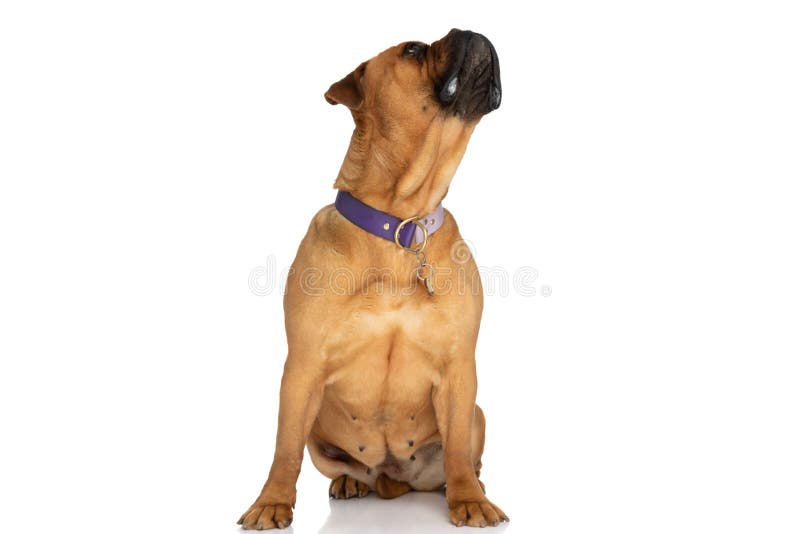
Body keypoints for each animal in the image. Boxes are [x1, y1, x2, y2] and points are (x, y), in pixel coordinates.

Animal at [238, 29, 510, 532]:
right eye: (413, 50)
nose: (471, 31)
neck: (401, 224)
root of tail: (394, 475)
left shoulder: (460, 369)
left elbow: (457, 449)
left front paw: (469, 498)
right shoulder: (301, 367)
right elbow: (284, 449)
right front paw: (271, 502)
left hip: (479, 414)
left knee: (465, 455)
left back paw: (469, 485)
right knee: (333, 462)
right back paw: (351, 481)